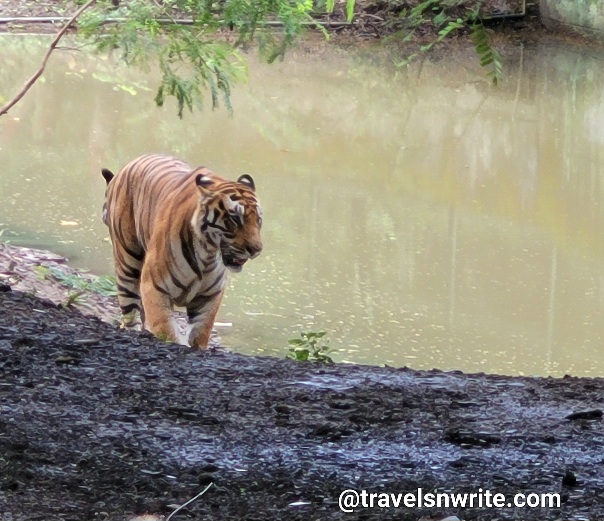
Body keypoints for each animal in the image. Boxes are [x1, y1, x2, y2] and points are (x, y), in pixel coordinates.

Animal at [100, 154, 264, 350]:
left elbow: (200, 334)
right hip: (127, 262)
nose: (256, 249)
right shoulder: (154, 288)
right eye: (235, 218)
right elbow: (167, 332)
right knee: (129, 311)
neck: (207, 255)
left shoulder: (209, 296)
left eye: (259, 220)